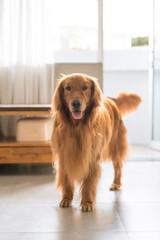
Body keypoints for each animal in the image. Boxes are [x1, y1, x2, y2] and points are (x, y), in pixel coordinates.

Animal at [51, 73, 141, 212]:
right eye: (68, 88)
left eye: (85, 87)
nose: (76, 103)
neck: (76, 127)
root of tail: (111, 99)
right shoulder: (64, 155)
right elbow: (66, 180)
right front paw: (66, 199)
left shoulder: (92, 157)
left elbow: (89, 183)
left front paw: (87, 202)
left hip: (115, 147)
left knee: (118, 167)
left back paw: (116, 184)